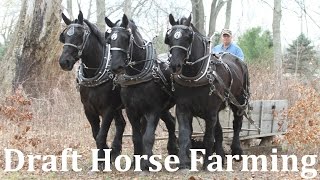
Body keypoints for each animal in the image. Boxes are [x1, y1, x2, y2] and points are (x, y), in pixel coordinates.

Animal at [58, 11, 125, 169]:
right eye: (64, 37)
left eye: (79, 35)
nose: (64, 62)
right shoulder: (88, 109)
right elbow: (96, 134)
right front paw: (104, 156)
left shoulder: (108, 108)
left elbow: (101, 135)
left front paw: (102, 160)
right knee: (121, 124)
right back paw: (115, 151)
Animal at [105, 14, 179, 169]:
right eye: (109, 40)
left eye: (126, 38)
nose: (115, 66)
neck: (137, 75)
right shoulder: (131, 111)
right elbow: (137, 137)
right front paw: (137, 161)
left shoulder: (153, 110)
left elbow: (148, 137)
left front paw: (148, 163)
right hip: (163, 108)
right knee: (171, 122)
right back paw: (173, 150)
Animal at [165, 14, 250, 169]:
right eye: (169, 37)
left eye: (188, 37)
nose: (175, 65)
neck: (195, 75)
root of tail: (239, 61)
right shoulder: (183, 108)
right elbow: (185, 135)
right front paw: (184, 162)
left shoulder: (210, 111)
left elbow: (208, 138)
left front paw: (208, 162)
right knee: (220, 131)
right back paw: (221, 157)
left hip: (239, 101)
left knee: (237, 124)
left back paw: (236, 151)